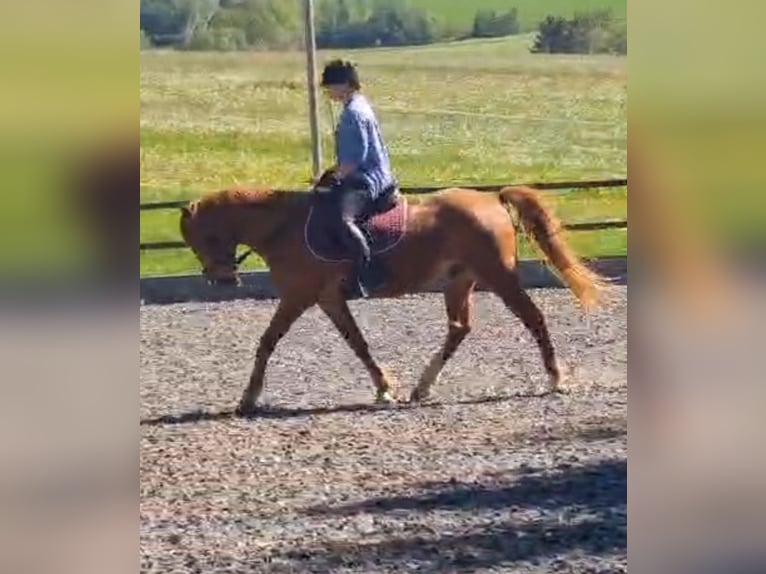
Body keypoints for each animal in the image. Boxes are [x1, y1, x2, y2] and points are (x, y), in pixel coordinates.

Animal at [180, 176, 612, 414]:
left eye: (202, 237)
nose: (221, 279)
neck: (283, 227)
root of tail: (491, 199)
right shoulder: (328, 298)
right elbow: (357, 343)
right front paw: (385, 388)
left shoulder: (299, 296)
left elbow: (267, 341)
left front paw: (248, 398)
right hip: (459, 281)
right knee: (459, 328)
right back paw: (422, 388)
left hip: (498, 275)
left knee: (532, 318)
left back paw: (556, 379)